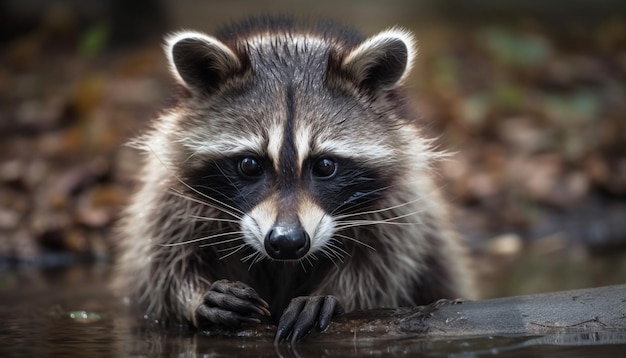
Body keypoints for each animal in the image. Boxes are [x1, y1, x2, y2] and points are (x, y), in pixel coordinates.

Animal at [113, 17, 472, 344]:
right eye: (249, 164)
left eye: (325, 165)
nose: (286, 242)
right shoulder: (171, 195)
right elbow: (158, 267)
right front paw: (195, 296)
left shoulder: (398, 204)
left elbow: (381, 264)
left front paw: (334, 295)